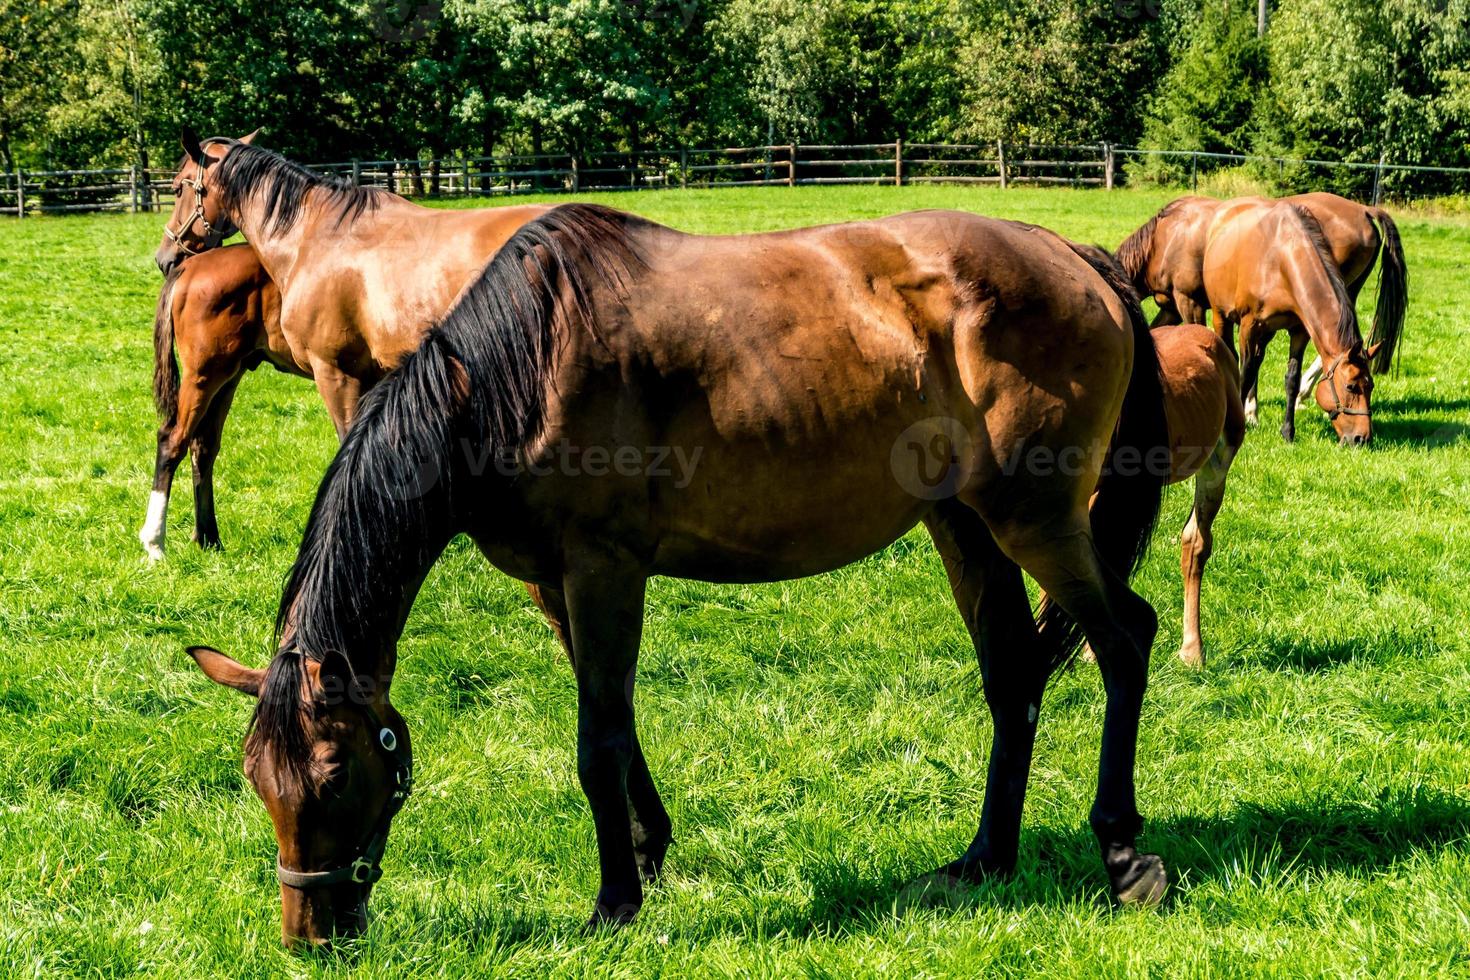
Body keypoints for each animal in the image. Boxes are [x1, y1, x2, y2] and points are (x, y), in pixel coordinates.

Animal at [186, 202, 1170, 946]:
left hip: (1034, 521)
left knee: (1124, 641)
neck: (517, 372)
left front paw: (614, 902)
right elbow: (614, 724)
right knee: (1015, 679)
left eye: (334, 778)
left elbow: (598, 743)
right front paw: (649, 850)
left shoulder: (605, 572)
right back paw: (984, 859)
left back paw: (1123, 853)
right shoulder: (556, 585)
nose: (312, 937)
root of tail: (1076, 258)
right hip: (964, 524)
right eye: (254, 779)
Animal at [1205, 201, 1375, 446]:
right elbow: (1245, 373)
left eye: (1370, 386)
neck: (1282, 259)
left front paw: (1288, 431)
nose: (1362, 438)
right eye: (1350, 386)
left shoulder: (1299, 331)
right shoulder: (1249, 326)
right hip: (1221, 317)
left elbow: (1292, 380)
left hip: (1266, 333)